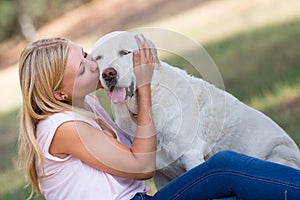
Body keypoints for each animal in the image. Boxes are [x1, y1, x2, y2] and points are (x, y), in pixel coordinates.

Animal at [91, 30, 300, 188]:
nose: (108, 74)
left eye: (125, 53)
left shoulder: (191, 156)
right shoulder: (158, 173)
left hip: (279, 153)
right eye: (98, 58)